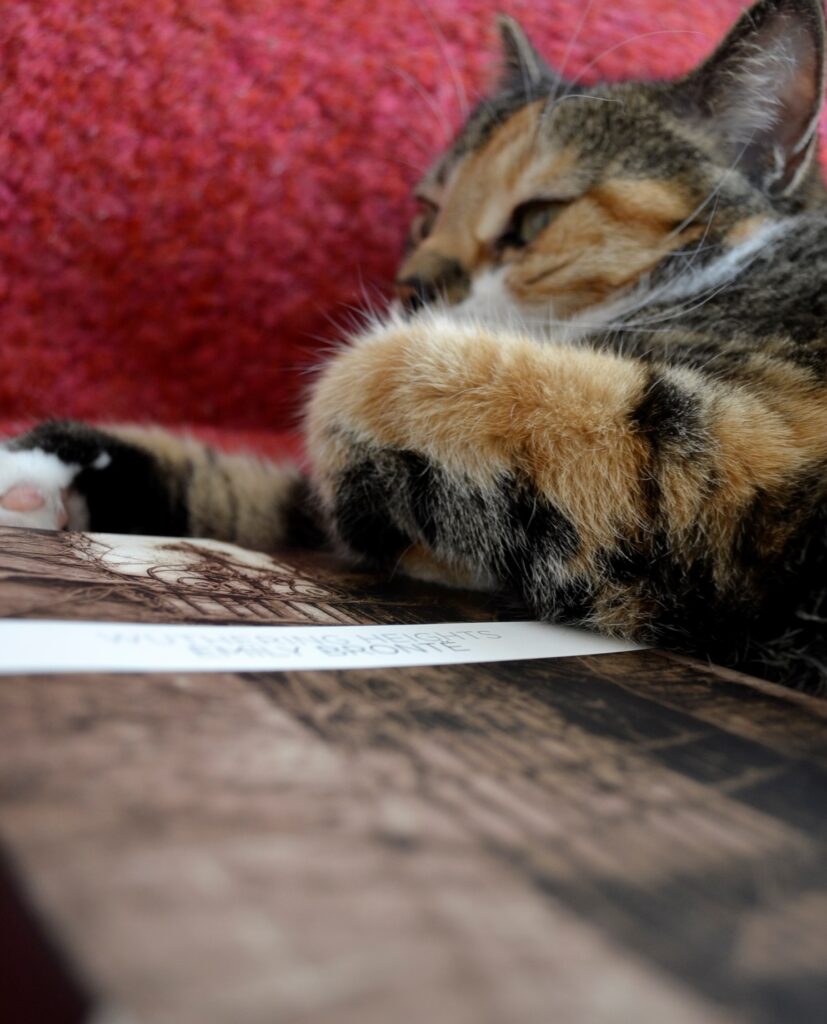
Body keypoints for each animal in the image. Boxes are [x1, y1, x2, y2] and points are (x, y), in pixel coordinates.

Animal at [1, 0, 827, 692]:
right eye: (426, 211)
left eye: (535, 219)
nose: (413, 281)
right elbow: (257, 491)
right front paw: (33, 474)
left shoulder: (732, 455)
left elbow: (368, 387)